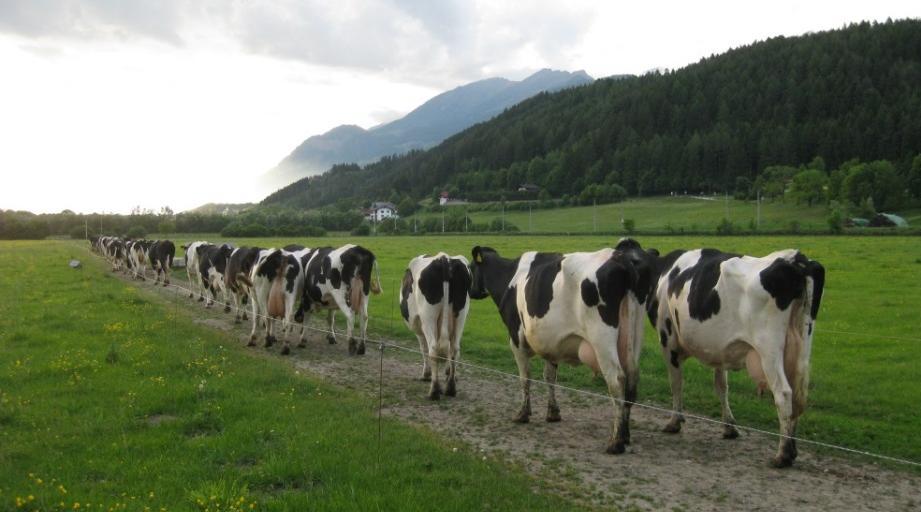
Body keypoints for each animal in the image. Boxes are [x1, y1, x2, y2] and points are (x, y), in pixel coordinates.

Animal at [398, 252, 470, 400]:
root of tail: (443, 258)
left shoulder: (418, 326)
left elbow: (423, 348)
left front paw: (426, 374)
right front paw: (448, 373)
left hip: (428, 317)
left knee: (433, 349)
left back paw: (434, 391)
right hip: (460, 315)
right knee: (454, 349)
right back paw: (451, 388)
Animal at [468, 245, 648, 456]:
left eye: (470, 268)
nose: (470, 291)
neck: (509, 277)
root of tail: (620, 258)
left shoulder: (516, 339)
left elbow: (525, 378)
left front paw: (523, 413)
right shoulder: (551, 343)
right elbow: (549, 377)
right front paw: (553, 413)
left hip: (602, 340)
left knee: (617, 380)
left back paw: (616, 442)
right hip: (633, 339)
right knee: (632, 381)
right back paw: (625, 435)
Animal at [640, 245, 828, 468]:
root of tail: (796, 259)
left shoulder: (668, 340)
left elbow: (676, 383)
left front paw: (674, 421)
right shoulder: (720, 348)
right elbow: (722, 386)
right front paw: (729, 427)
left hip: (769, 349)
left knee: (783, 393)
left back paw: (783, 454)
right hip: (802, 346)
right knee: (797, 398)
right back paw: (792, 448)